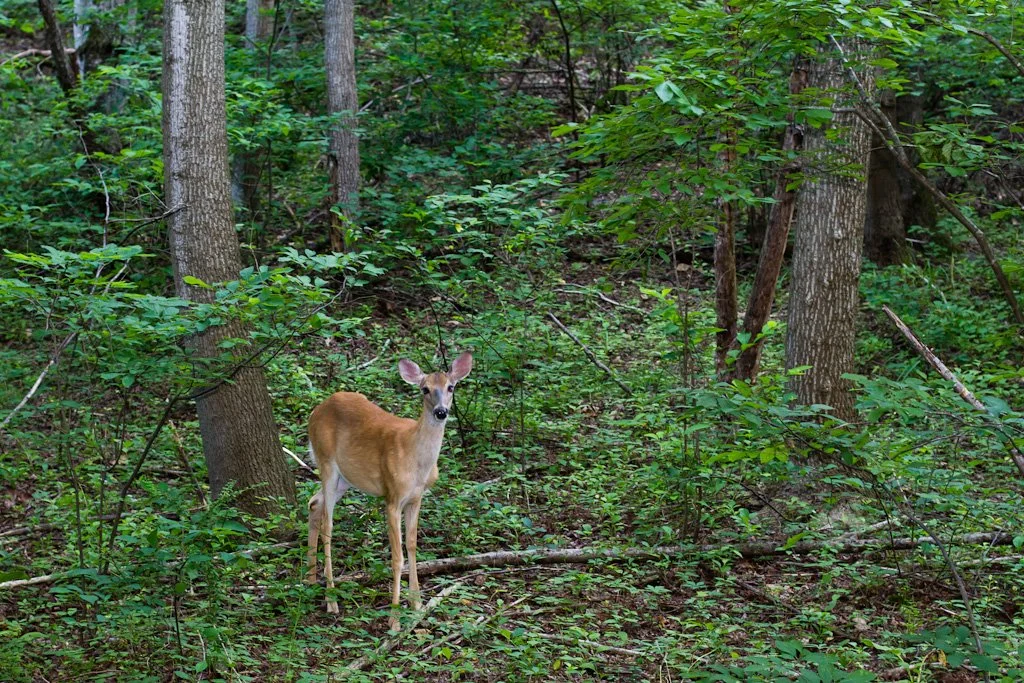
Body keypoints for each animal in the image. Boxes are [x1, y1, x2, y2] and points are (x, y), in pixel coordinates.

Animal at [305, 352, 472, 629]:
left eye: (451, 387)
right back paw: (331, 600)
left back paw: (308, 580)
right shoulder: (392, 497)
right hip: (326, 461)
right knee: (328, 523)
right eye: (425, 389)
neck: (417, 461)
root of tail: (317, 410)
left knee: (314, 503)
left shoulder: (416, 498)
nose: (441, 412)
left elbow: (413, 546)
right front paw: (394, 619)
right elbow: (397, 557)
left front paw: (417, 605)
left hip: (346, 478)